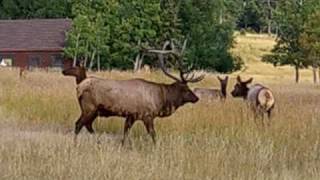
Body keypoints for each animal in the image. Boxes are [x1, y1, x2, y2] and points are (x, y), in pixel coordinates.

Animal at [62, 41, 205, 145]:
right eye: (186, 89)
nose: (196, 98)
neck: (161, 98)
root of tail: (79, 87)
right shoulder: (147, 115)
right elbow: (153, 134)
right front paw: (156, 147)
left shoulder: (131, 116)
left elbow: (125, 132)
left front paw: (122, 145)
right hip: (89, 108)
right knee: (78, 124)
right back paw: (75, 144)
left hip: (94, 111)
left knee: (87, 125)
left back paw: (98, 142)